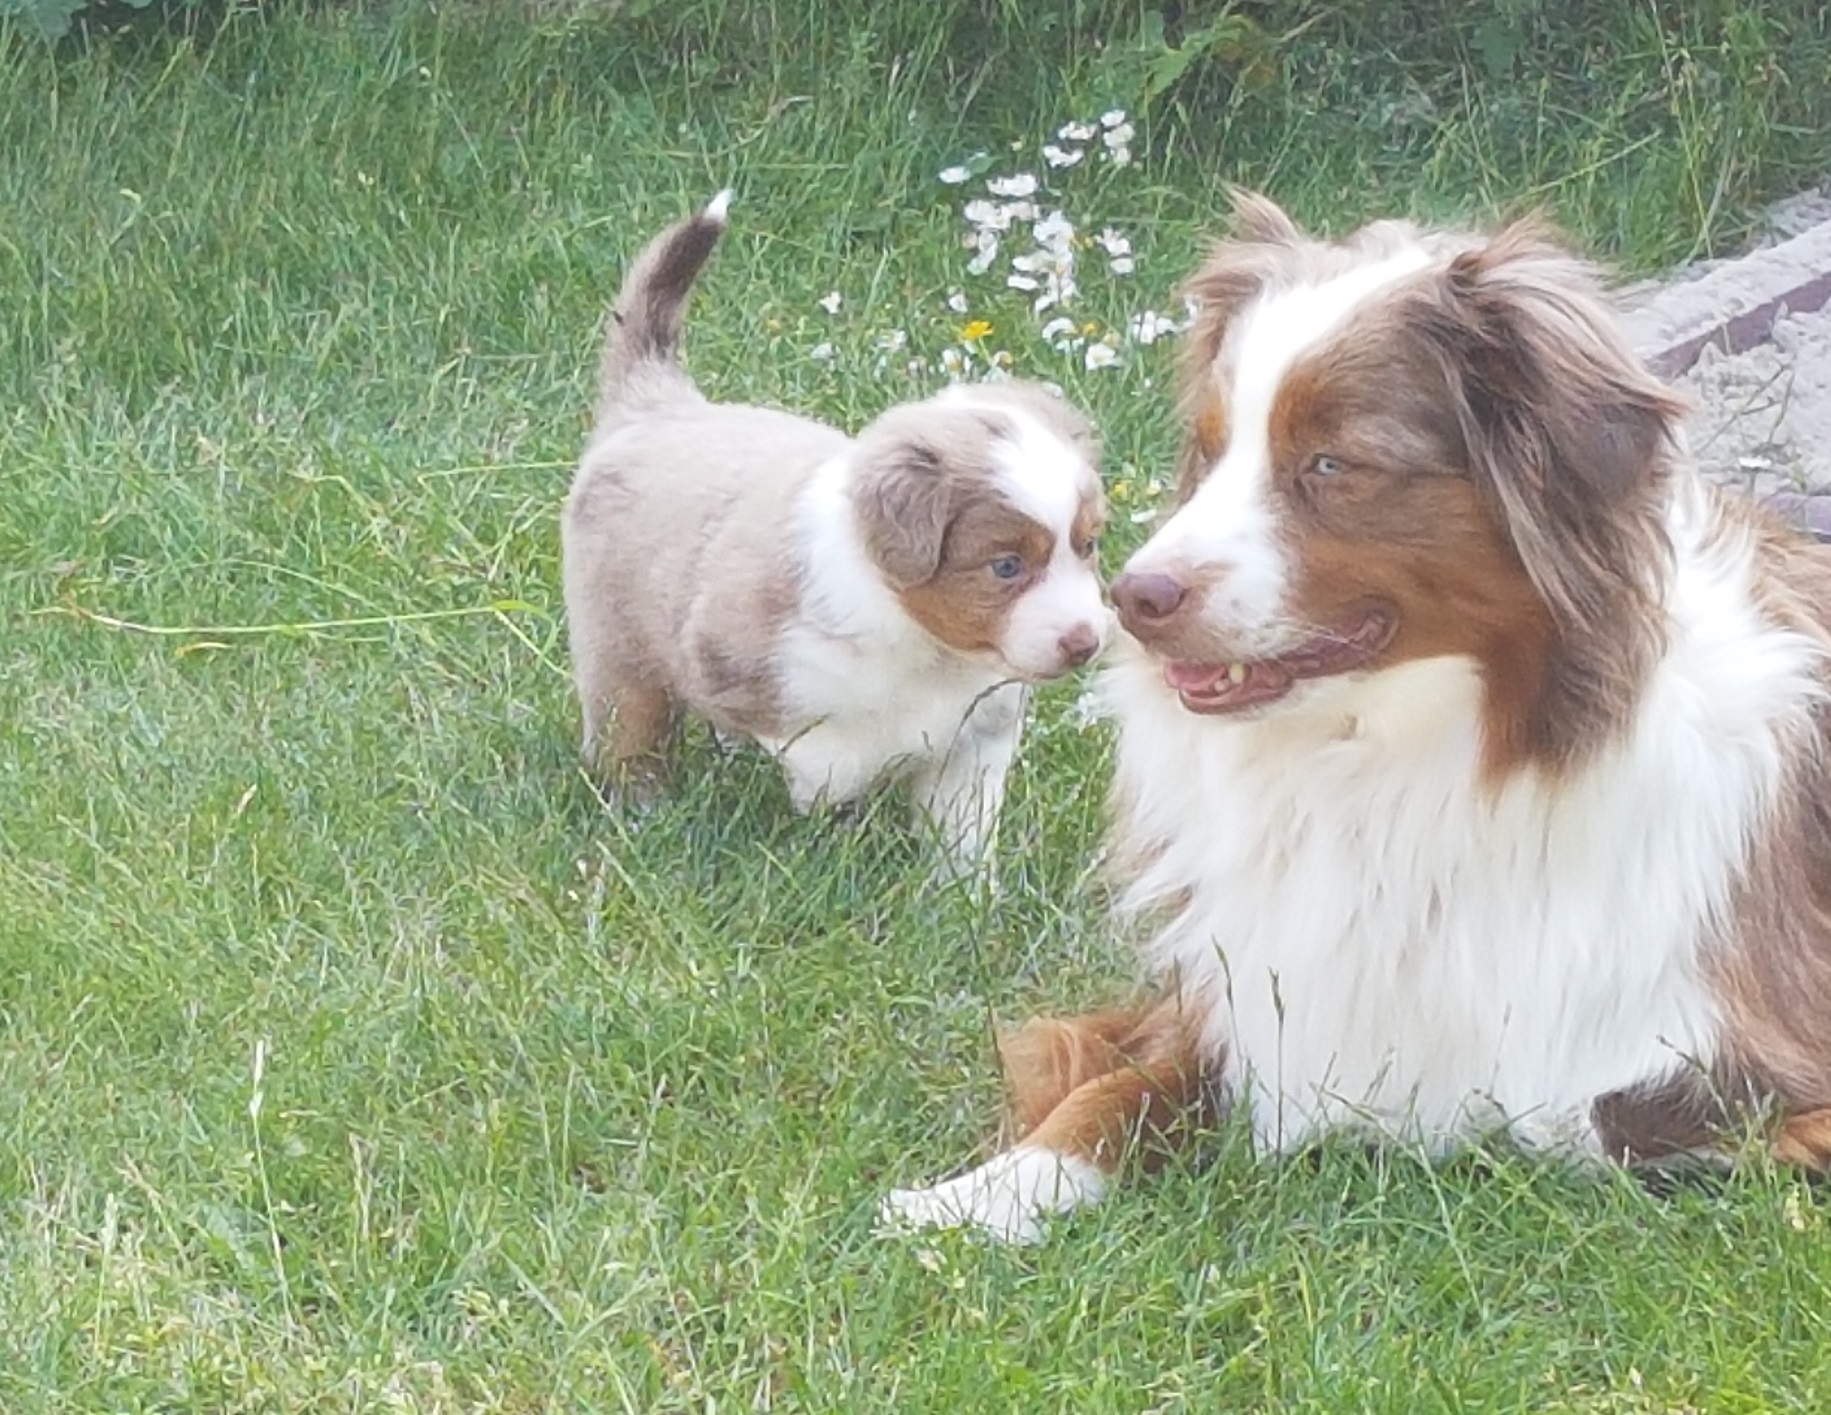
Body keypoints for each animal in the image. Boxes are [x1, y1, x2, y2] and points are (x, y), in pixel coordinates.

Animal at [562, 193, 1110, 864]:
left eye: (1088, 545)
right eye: (1006, 566)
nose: (1086, 643)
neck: (927, 649)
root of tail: (657, 403)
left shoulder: (978, 735)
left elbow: (963, 831)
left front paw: (965, 886)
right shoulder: (747, 661)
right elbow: (828, 758)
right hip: (617, 650)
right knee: (630, 736)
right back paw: (644, 813)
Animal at [882, 191, 1831, 1242]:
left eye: (1332, 462)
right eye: (1212, 448)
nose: (1132, 598)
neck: (1385, 759)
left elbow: (1605, 1112)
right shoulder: (1230, 992)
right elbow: (1116, 1089)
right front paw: (976, 1196)